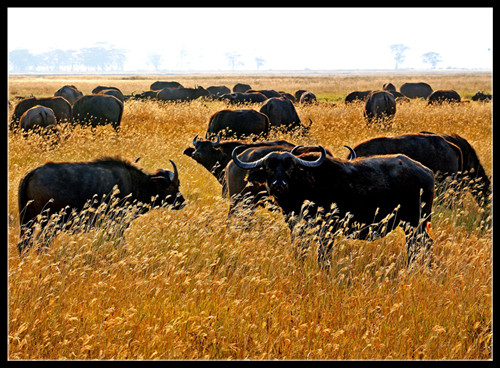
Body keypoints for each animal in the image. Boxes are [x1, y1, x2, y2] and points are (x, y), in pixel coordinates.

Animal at [17, 155, 187, 253]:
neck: (136, 183)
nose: (182, 202)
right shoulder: (117, 225)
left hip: (28, 222)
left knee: (24, 245)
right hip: (49, 224)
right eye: (172, 186)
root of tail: (33, 173)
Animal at [232, 144, 436, 268]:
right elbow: (300, 251)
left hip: (416, 223)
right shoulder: (297, 229)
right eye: (268, 167)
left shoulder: (327, 230)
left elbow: (323, 257)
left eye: (290, 166)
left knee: (423, 245)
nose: (278, 185)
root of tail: (426, 171)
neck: (309, 185)